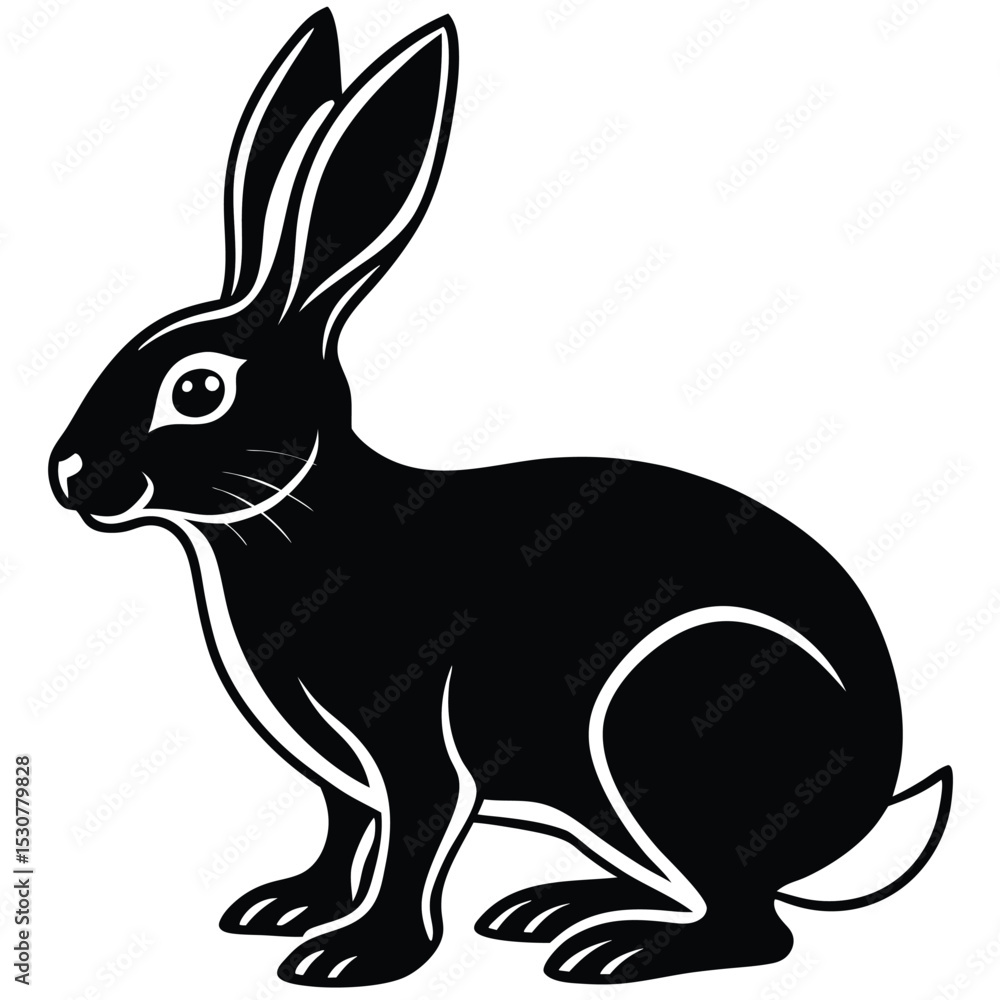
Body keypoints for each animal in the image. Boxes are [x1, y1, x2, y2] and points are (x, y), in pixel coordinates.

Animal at [49, 8, 952, 989]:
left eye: (198, 390)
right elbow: (344, 830)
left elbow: (411, 838)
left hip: (664, 719)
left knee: (752, 925)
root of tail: (867, 808)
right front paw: (287, 908)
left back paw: (610, 950)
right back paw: (552, 909)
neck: (297, 513)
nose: (68, 474)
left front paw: (354, 956)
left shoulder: (414, 743)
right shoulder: (340, 776)